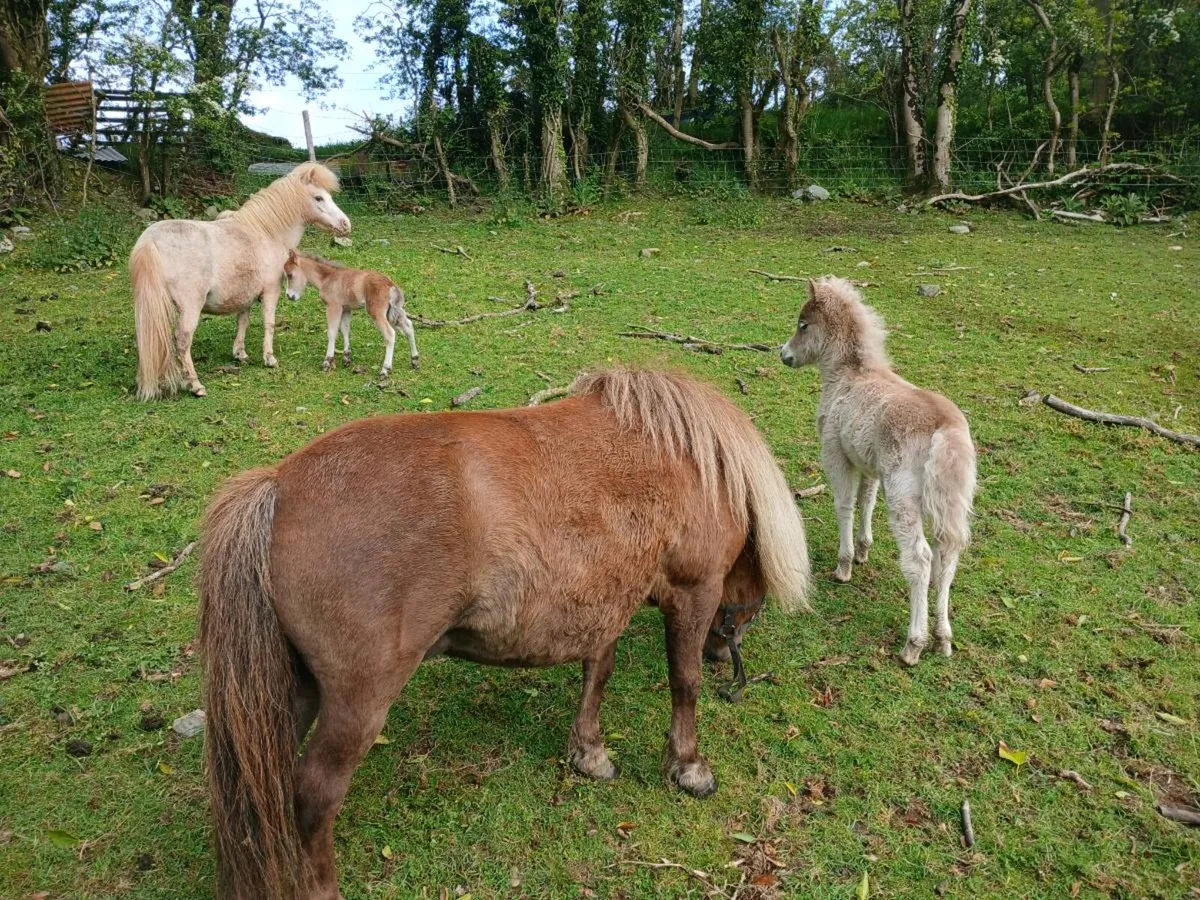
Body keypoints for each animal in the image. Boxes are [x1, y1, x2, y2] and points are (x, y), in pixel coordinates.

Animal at [130, 163, 351, 400]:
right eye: (319, 198)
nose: (346, 224)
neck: (266, 231)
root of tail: (150, 240)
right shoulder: (271, 292)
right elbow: (269, 323)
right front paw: (269, 359)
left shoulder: (246, 295)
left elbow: (242, 321)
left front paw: (240, 354)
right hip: (190, 307)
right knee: (182, 341)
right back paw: (195, 385)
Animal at [198, 367, 811, 899]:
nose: (722, 651)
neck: (691, 462)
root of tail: (279, 487)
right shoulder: (693, 589)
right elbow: (683, 682)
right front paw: (688, 767)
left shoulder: (609, 599)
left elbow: (598, 673)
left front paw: (589, 753)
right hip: (356, 703)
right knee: (312, 796)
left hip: (285, 692)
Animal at [283, 250, 419, 377]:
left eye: (290, 275)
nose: (289, 296)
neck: (327, 278)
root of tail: (391, 285)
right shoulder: (346, 309)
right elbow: (345, 329)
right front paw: (347, 358)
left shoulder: (333, 306)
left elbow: (332, 332)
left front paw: (327, 362)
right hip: (393, 311)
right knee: (408, 326)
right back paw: (415, 361)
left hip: (376, 312)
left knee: (390, 334)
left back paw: (385, 370)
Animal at [780, 276, 977, 665]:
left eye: (803, 324)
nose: (784, 354)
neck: (849, 375)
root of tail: (945, 429)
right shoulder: (868, 465)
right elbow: (866, 502)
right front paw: (863, 550)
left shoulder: (836, 455)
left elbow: (844, 504)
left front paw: (844, 566)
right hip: (952, 500)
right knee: (947, 557)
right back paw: (943, 639)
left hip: (904, 496)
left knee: (920, 560)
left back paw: (913, 644)